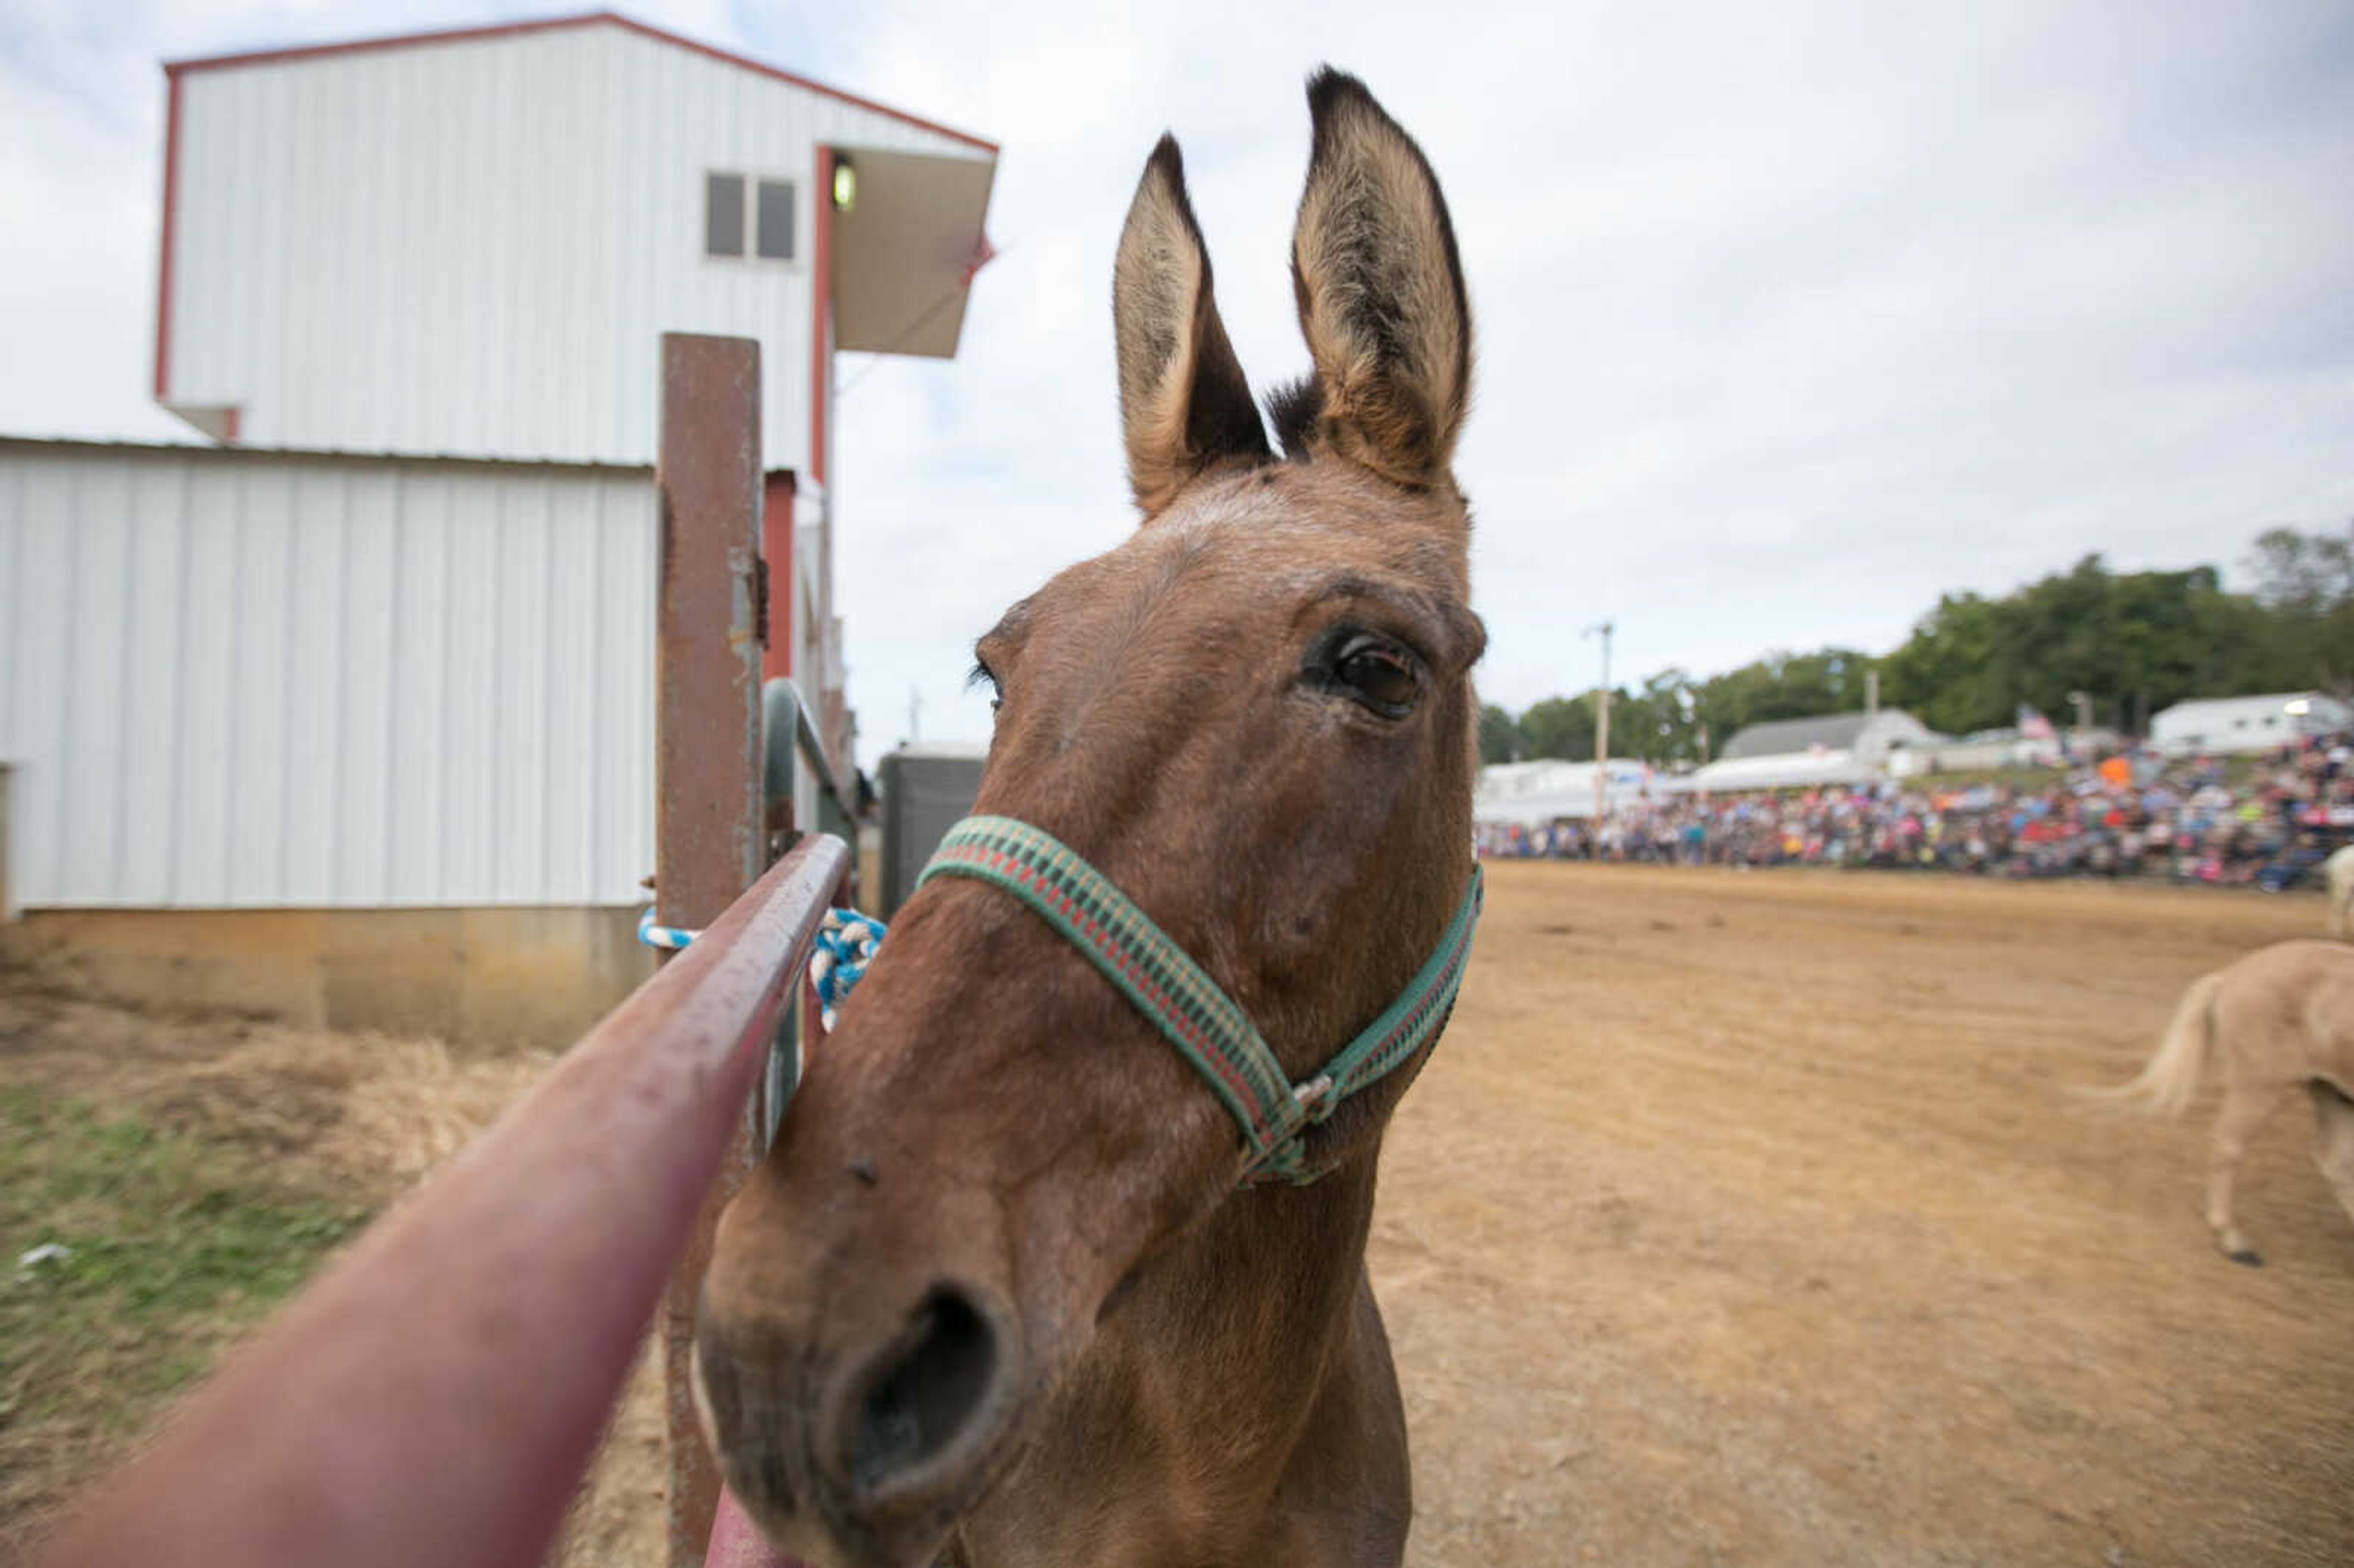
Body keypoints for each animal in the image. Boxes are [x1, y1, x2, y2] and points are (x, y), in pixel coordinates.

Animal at [2109, 942, 2354, 1262]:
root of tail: (2230, 976)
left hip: (2331, 1091)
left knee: (2336, 1162)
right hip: (2262, 1088)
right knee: (2227, 1147)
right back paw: (2233, 1241)